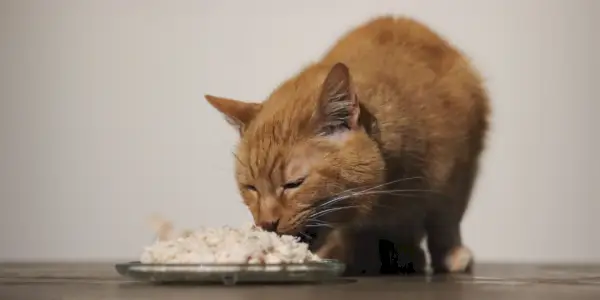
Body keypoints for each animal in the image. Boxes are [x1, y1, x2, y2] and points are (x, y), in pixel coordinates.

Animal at [204, 15, 490, 274]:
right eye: (250, 188)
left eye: (294, 184)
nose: (267, 224)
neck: (391, 190)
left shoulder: (458, 177)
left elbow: (445, 221)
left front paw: (450, 254)